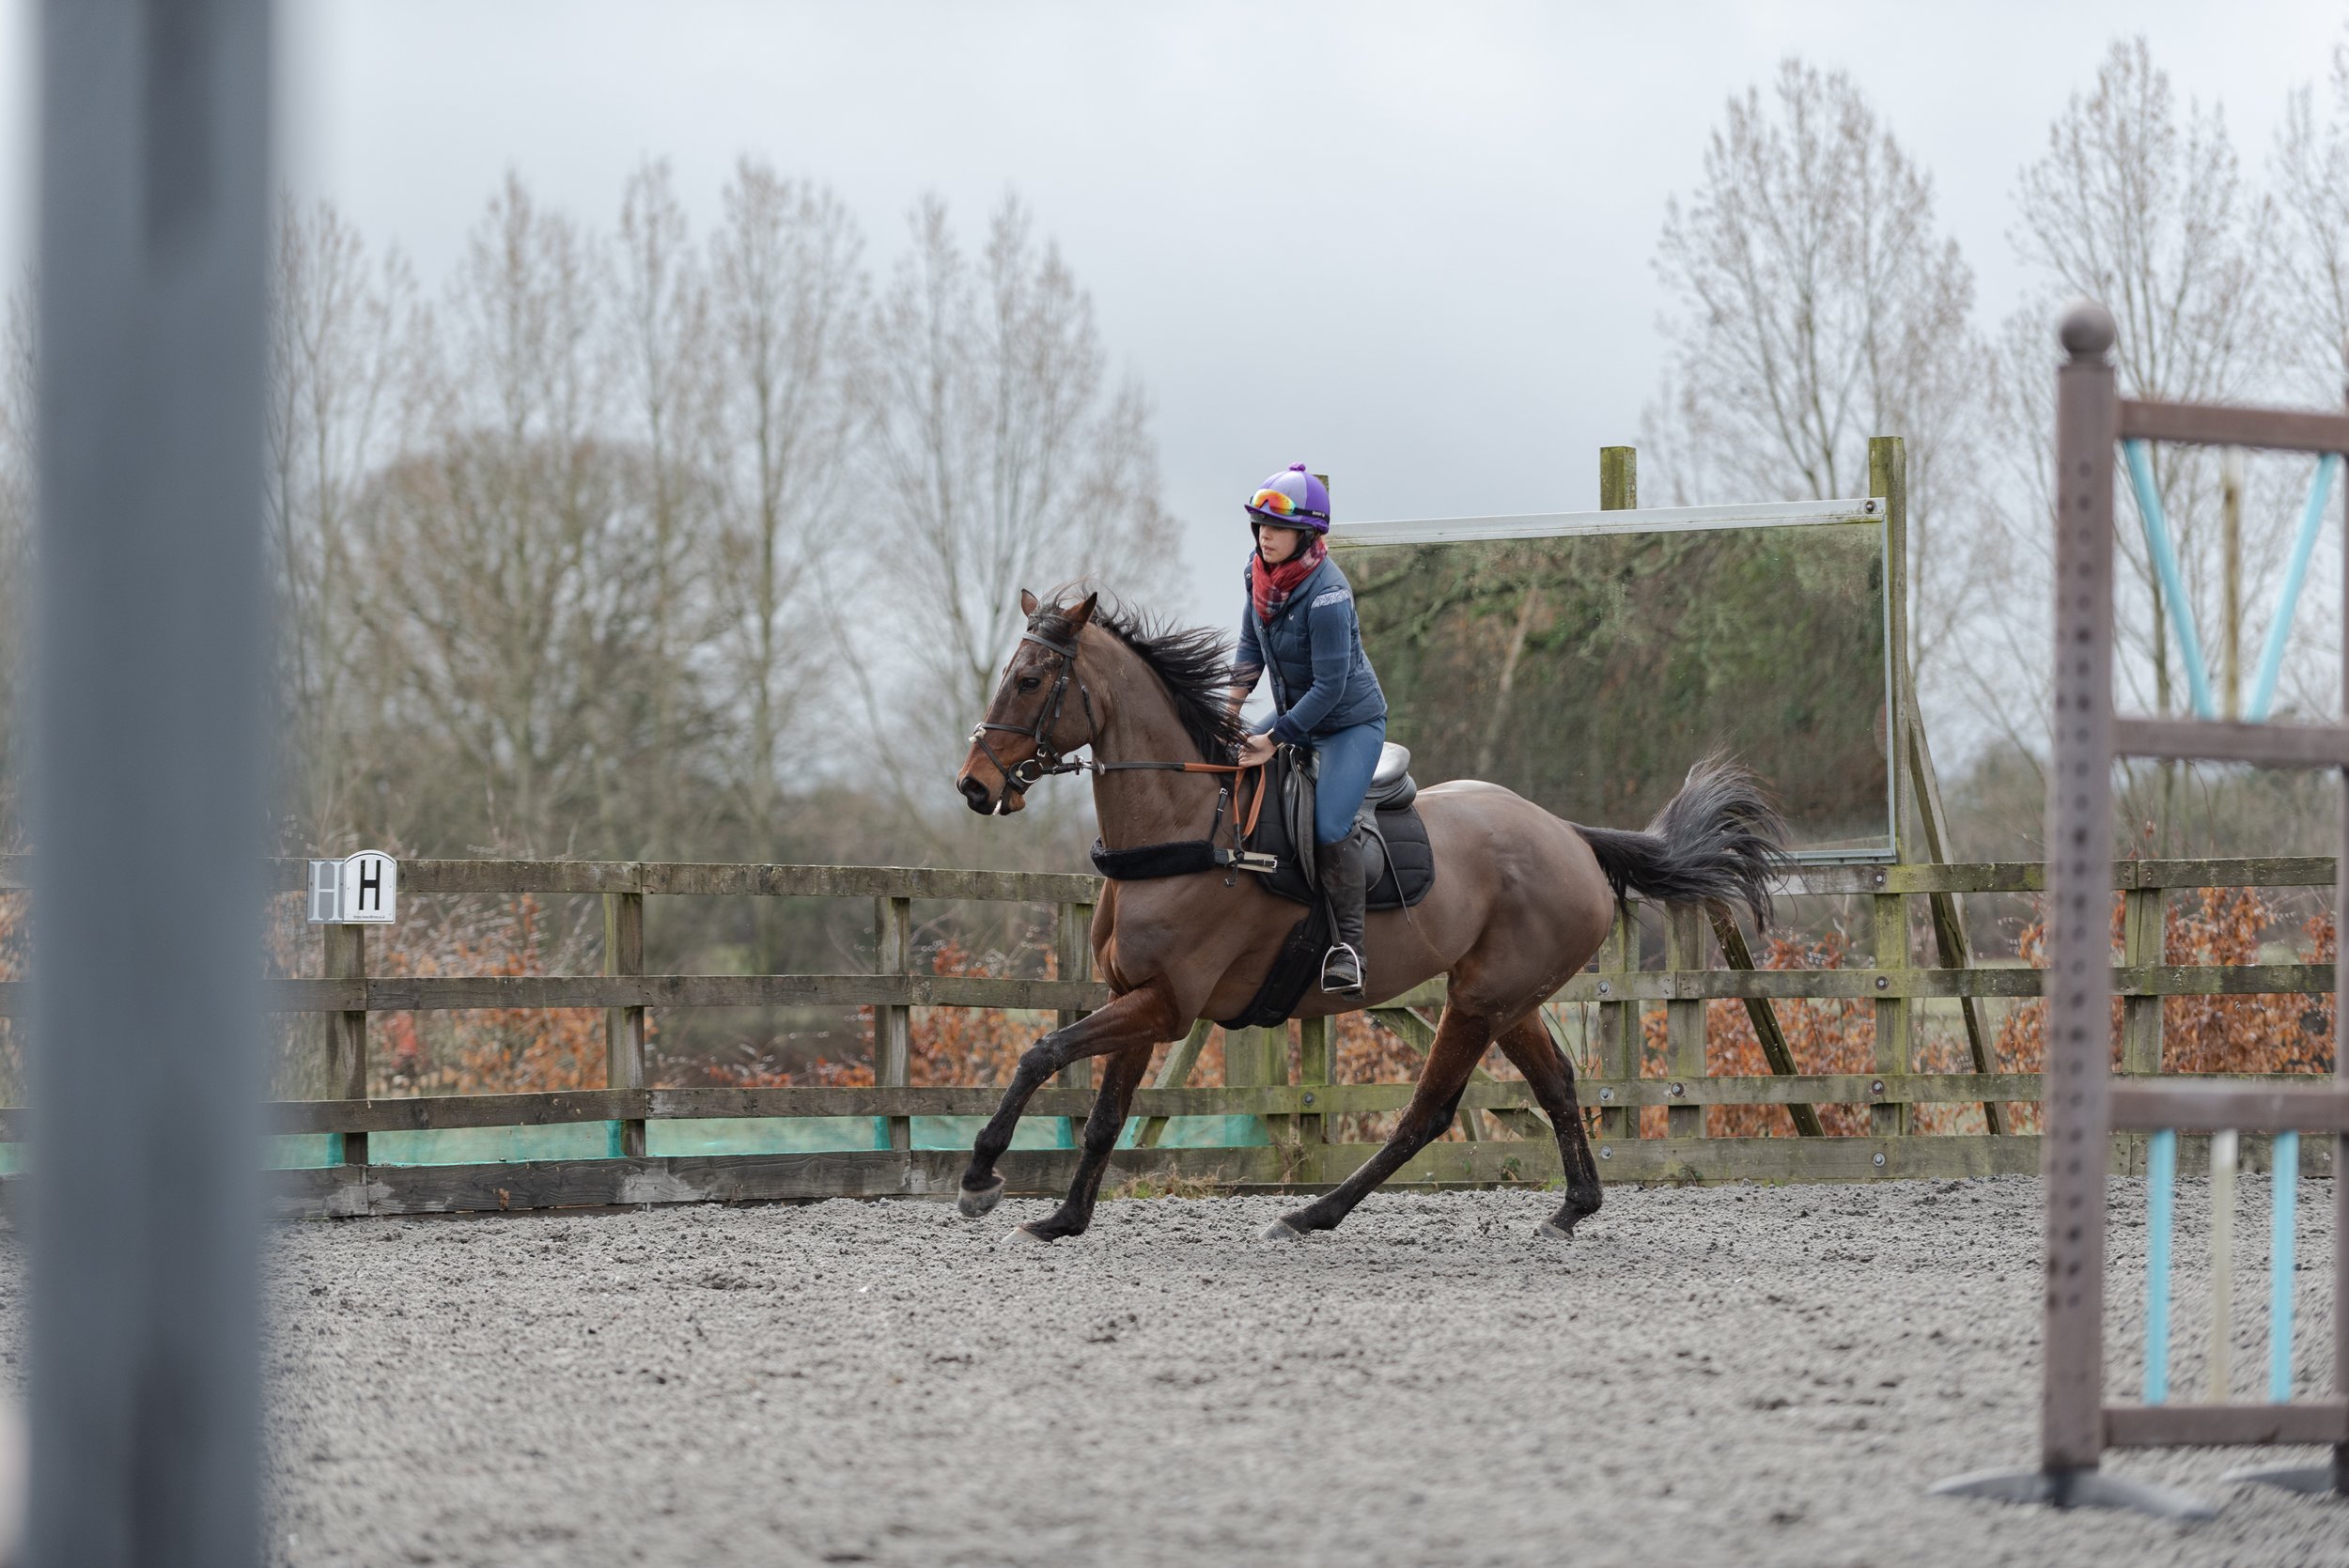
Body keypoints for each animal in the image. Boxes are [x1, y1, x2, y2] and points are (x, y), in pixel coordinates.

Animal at [951, 588, 1789, 1243]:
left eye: (1029, 679)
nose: (973, 785)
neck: (1185, 824)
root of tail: (1571, 835)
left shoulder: (1166, 1004)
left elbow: (1042, 1053)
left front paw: (981, 1173)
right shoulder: (1137, 996)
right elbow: (1102, 1113)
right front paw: (1063, 1218)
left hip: (1478, 1001)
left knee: (1428, 1111)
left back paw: (1312, 1213)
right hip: (1508, 998)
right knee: (1555, 1081)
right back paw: (1572, 1208)